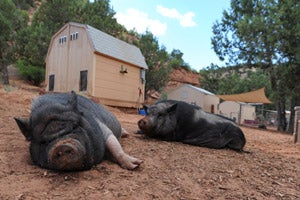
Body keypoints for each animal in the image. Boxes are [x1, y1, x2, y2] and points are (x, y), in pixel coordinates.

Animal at [15, 91, 143, 171]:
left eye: (74, 127)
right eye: (43, 141)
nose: (62, 145)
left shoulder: (102, 127)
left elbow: (113, 143)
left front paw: (136, 165)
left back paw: (127, 134)